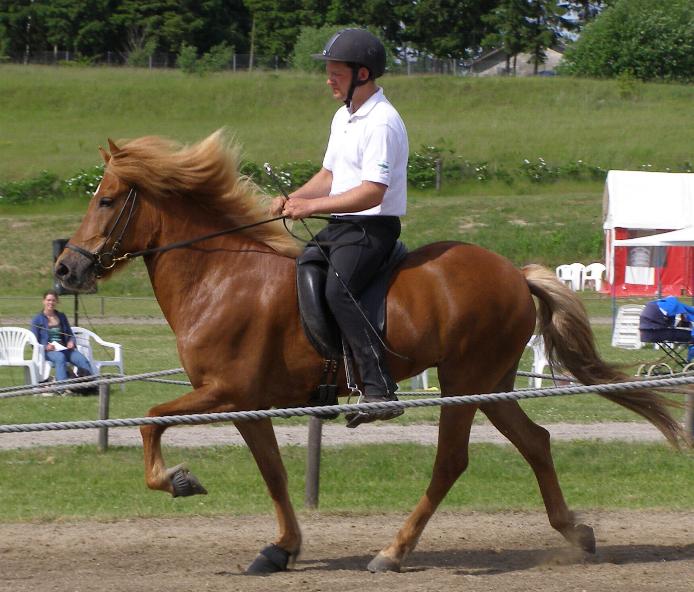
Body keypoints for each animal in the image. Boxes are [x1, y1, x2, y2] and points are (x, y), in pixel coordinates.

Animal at [57, 131, 688, 572]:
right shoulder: (247, 403)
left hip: (464, 381)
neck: (220, 278)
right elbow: (274, 474)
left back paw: (393, 551)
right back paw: (575, 532)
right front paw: (281, 548)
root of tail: (514, 272)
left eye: (106, 200)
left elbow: (150, 420)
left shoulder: (223, 393)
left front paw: (178, 481)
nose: (66, 270)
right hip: (489, 382)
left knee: (451, 462)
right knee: (535, 442)